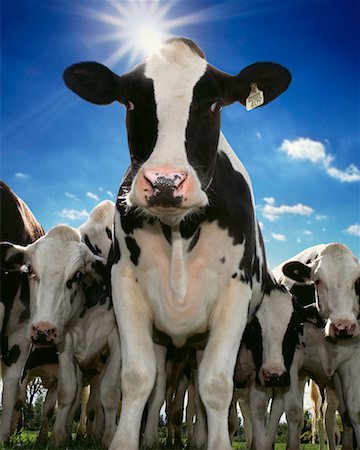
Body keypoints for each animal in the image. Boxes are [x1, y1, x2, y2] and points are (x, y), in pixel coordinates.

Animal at [63, 36, 292, 450]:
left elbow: (215, 387)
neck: (178, 233)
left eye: (214, 104)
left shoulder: (234, 294)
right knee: (159, 388)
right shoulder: (125, 287)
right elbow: (138, 379)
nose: (165, 183)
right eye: (130, 102)